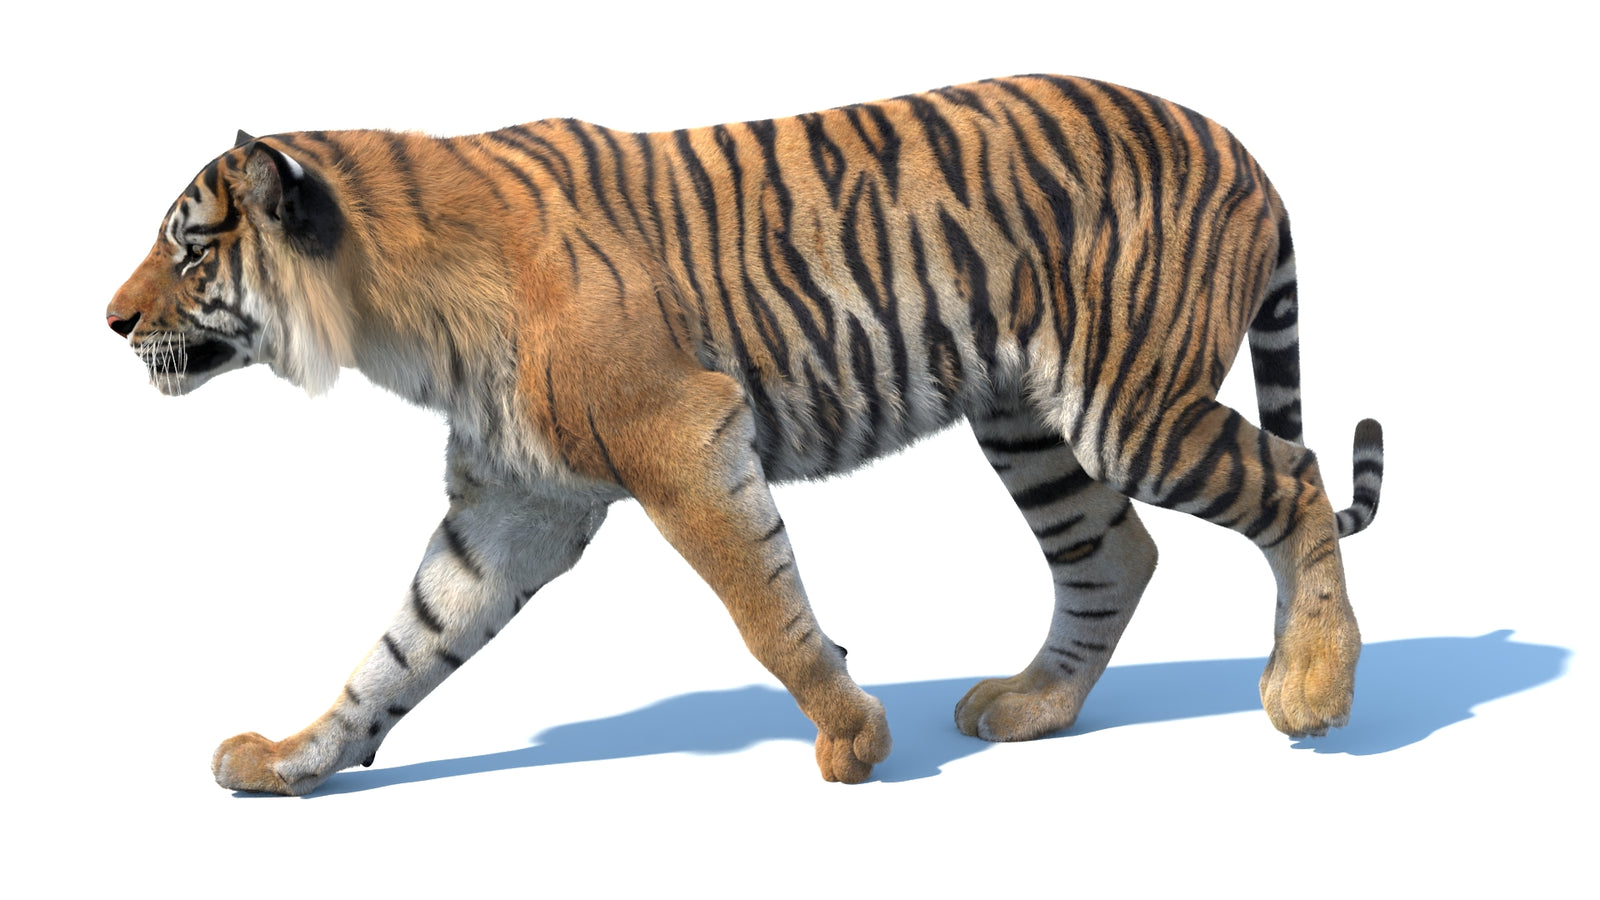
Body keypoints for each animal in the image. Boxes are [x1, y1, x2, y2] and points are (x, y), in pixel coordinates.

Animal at [107, 74, 1384, 796]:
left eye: (189, 248)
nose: (110, 321)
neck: (391, 318)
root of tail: (1241, 147)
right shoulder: (516, 503)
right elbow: (399, 648)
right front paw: (291, 762)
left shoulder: (683, 436)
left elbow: (765, 609)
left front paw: (852, 740)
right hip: (1029, 421)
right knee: (1115, 552)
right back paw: (1029, 709)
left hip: (1129, 407)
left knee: (1294, 478)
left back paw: (1312, 688)